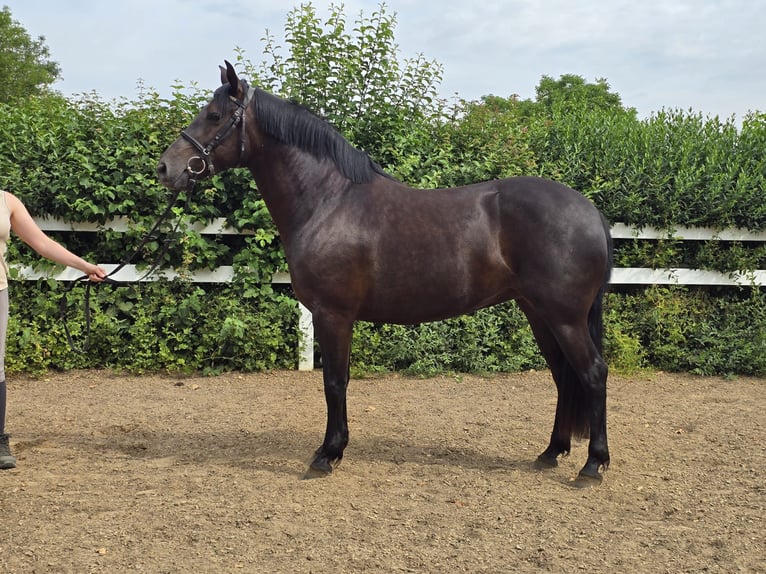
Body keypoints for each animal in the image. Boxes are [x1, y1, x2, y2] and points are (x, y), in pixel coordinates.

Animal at [157, 61, 613, 484]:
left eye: (214, 116)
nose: (165, 168)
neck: (328, 201)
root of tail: (590, 210)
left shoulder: (333, 315)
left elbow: (334, 382)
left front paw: (328, 454)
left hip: (563, 317)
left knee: (592, 373)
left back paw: (593, 464)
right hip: (538, 313)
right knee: (563, 376)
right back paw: (551, 452)